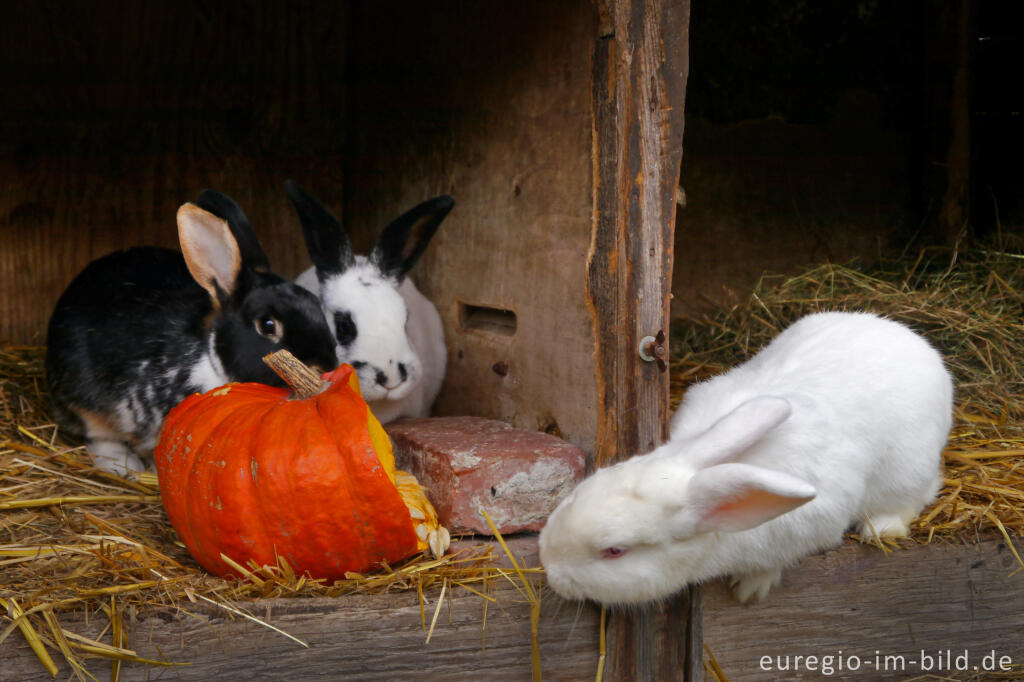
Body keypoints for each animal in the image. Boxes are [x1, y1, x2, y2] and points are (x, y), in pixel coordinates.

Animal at [540, 311, 954, 602]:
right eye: (579, 493)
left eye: (615, 551)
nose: (548, 565)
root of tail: (911, 341)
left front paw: (750, 587)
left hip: (908, 470)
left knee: (917, 495)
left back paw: (881, 529)